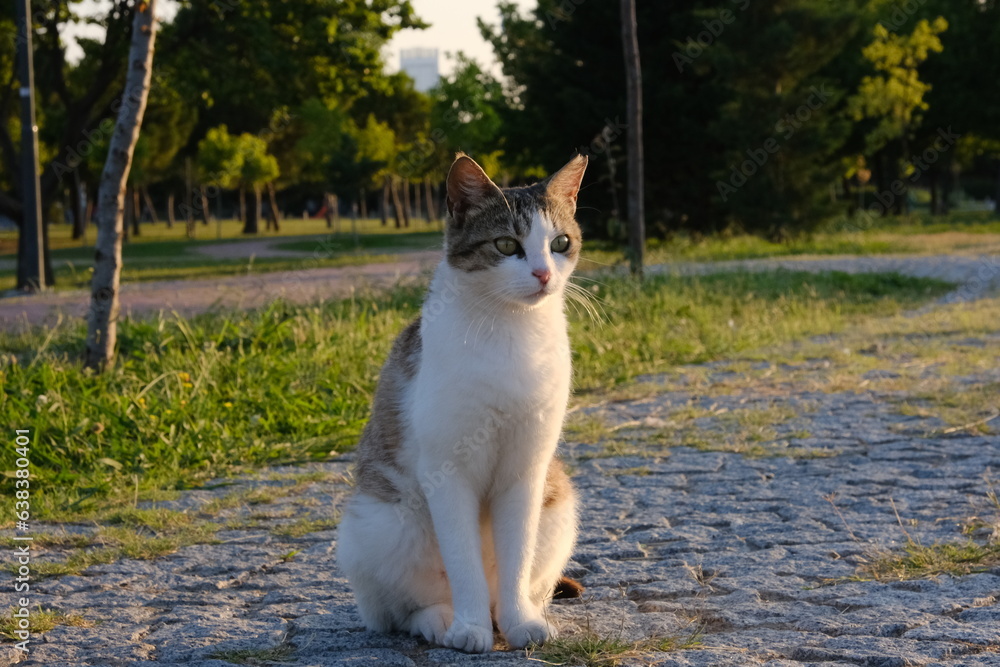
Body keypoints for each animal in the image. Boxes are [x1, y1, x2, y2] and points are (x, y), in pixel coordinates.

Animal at [338, 150, 584, 652]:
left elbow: (516, 559)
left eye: (561, 243)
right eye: (507, 245)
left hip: (559, 505)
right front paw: (469, 630)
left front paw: (520, 622)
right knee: (398, 609)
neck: (511, 331)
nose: (544, 274)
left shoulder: (526, 471)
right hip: (377, 526)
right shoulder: (448, 475)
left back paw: (510, 615)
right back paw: (443, 619)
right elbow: (462, 563)